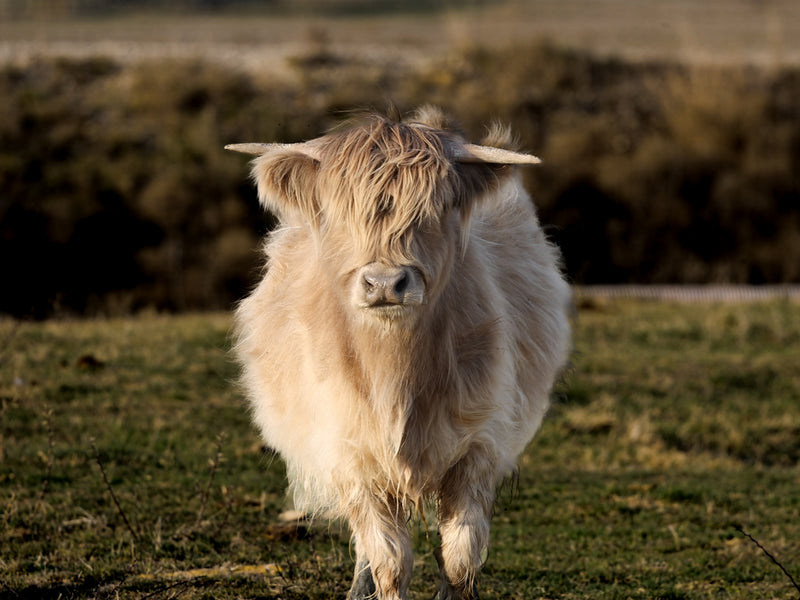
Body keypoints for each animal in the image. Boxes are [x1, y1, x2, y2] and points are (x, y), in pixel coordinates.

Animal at [227, 107, 571, 600]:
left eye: (437, 207)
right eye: (338, 212)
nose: (386, 283)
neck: (395, 372)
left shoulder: (479, 445)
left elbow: (460, 557)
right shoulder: (350, 453)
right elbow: (389, 560)